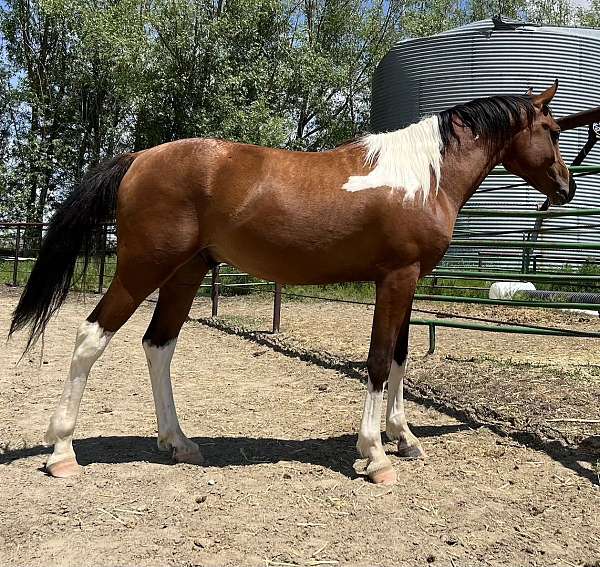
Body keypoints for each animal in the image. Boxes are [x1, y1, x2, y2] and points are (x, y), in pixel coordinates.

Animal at [8, 82, 572, 486]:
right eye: (551, 129)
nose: (566, 188)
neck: (421, 177)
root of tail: (139, 159)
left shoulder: (409, 282)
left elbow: (400, 356)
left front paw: (405, 437)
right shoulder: (395, 279)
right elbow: (377, 360)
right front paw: (375, 454)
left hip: (186, 272)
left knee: (158, 345)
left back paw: (179, 442)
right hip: (142, 269)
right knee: (90, 337)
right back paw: (62, 452)